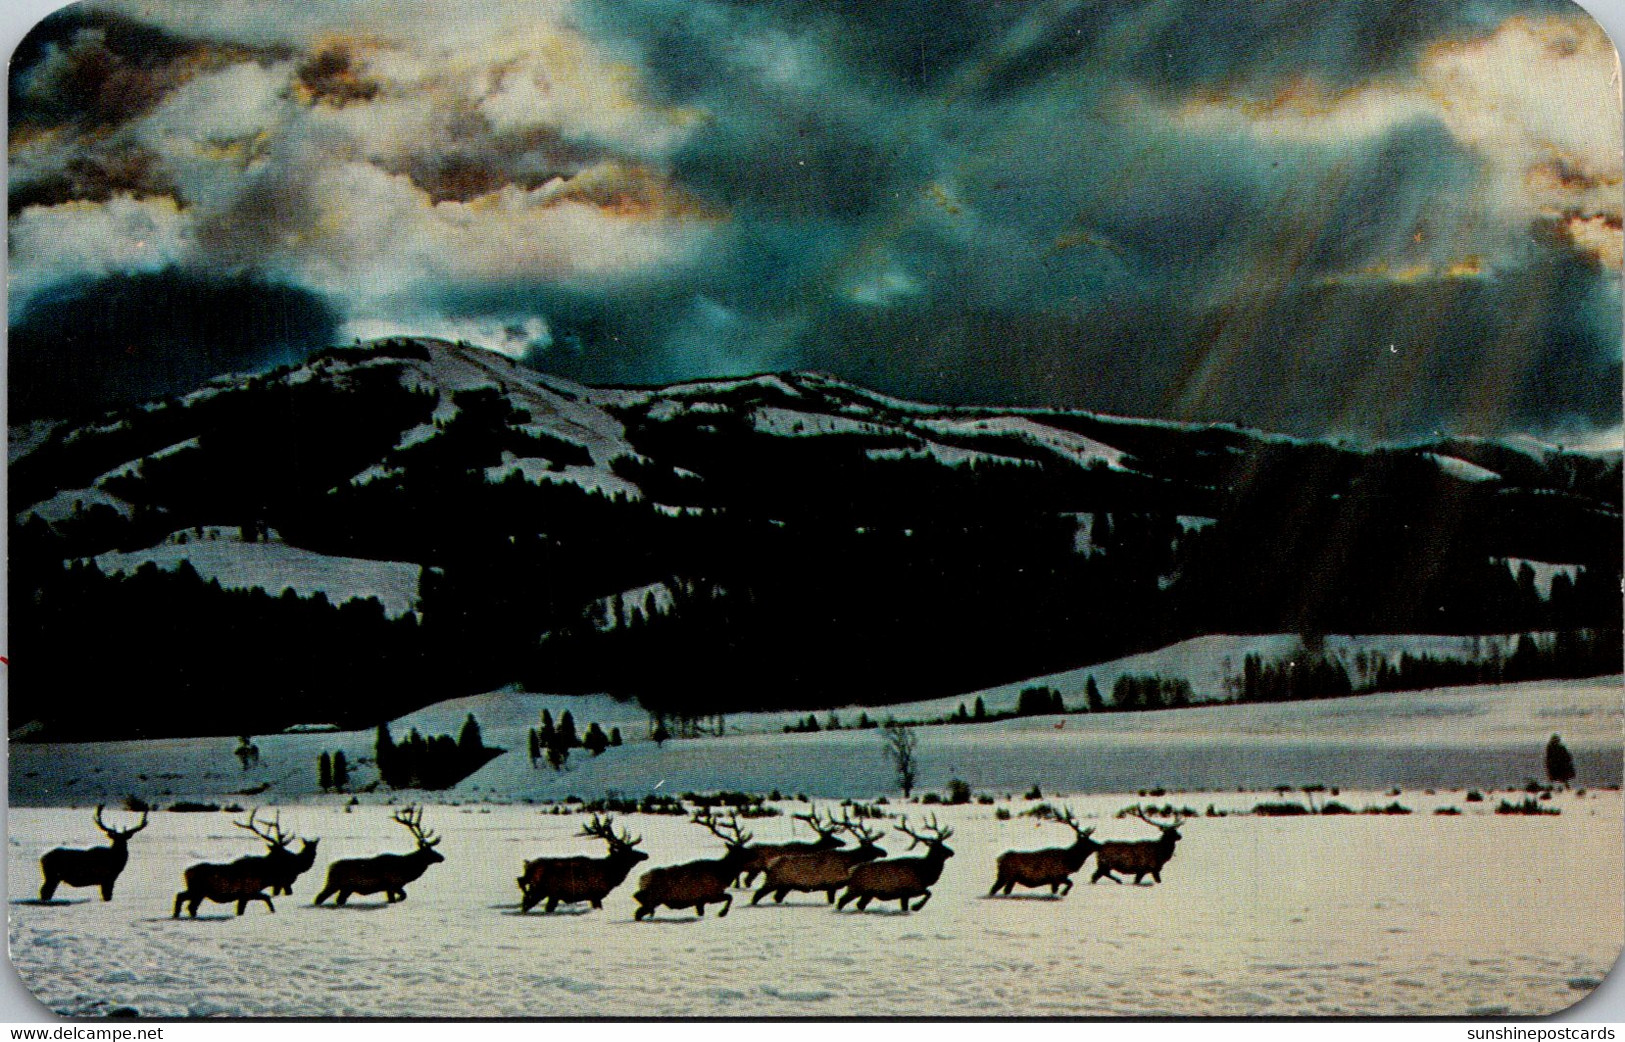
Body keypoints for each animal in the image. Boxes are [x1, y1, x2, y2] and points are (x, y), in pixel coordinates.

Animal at [312, 806, 445, 903]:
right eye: (429, 851)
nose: (442, 857)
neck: (406, 870)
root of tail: (330, 867)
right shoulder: (392, 884)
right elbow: (399, 897)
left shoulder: (392, 887)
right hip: (334, 883)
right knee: (319, 898)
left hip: (346, 888)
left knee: (339, 900)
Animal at [516, 812, 650, 910]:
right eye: (627, 851)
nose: (645, 855)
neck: (609, 874)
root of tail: (527, 865)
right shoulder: (595, 894)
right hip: (543, 891)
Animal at [750, 812, 890, 903]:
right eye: (870, 846)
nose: (884, 852)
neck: (848, 863)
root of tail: (771, 863)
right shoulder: (831, 885)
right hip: (773, 881)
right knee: (757, 894)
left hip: (785, 886)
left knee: (776, 897)